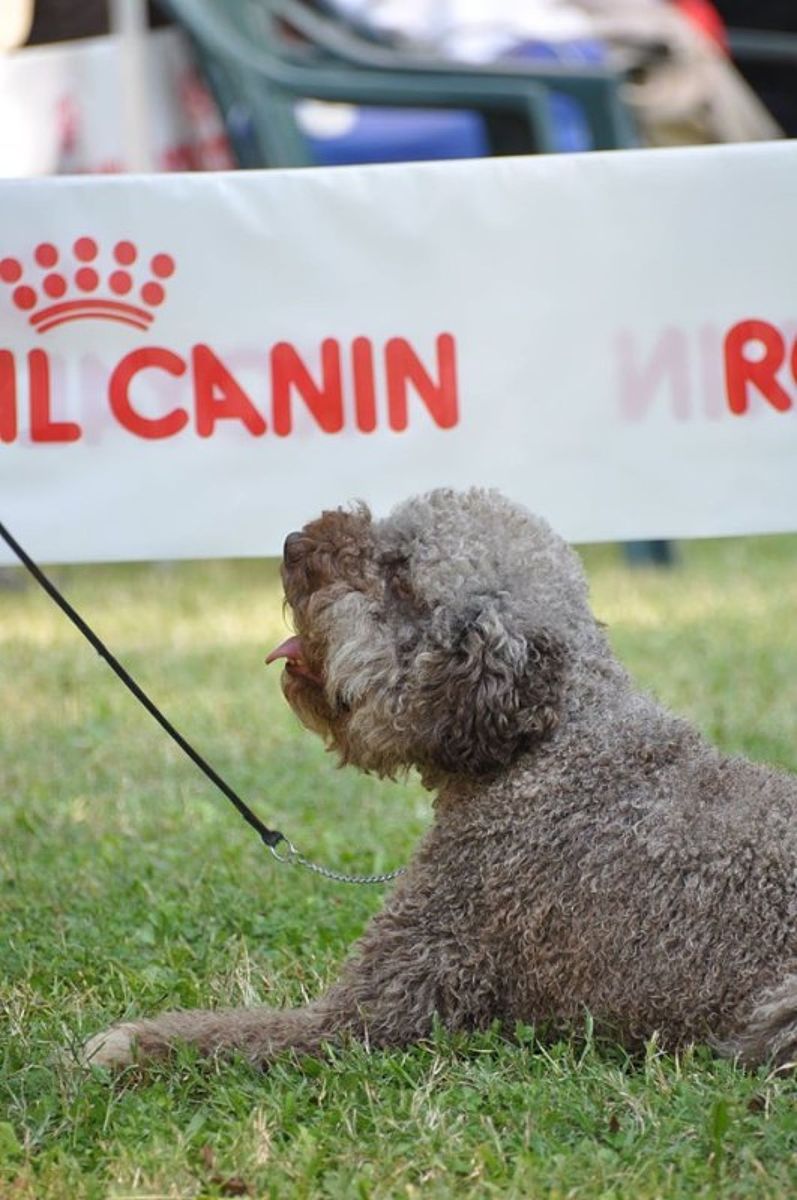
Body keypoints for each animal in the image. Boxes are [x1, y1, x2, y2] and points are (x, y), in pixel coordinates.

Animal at [85, 487, 797, 1070]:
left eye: (400, 574)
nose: (292, 543)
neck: (544, 743)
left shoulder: (390, 996)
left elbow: (234, 1034)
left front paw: (128, 1044)